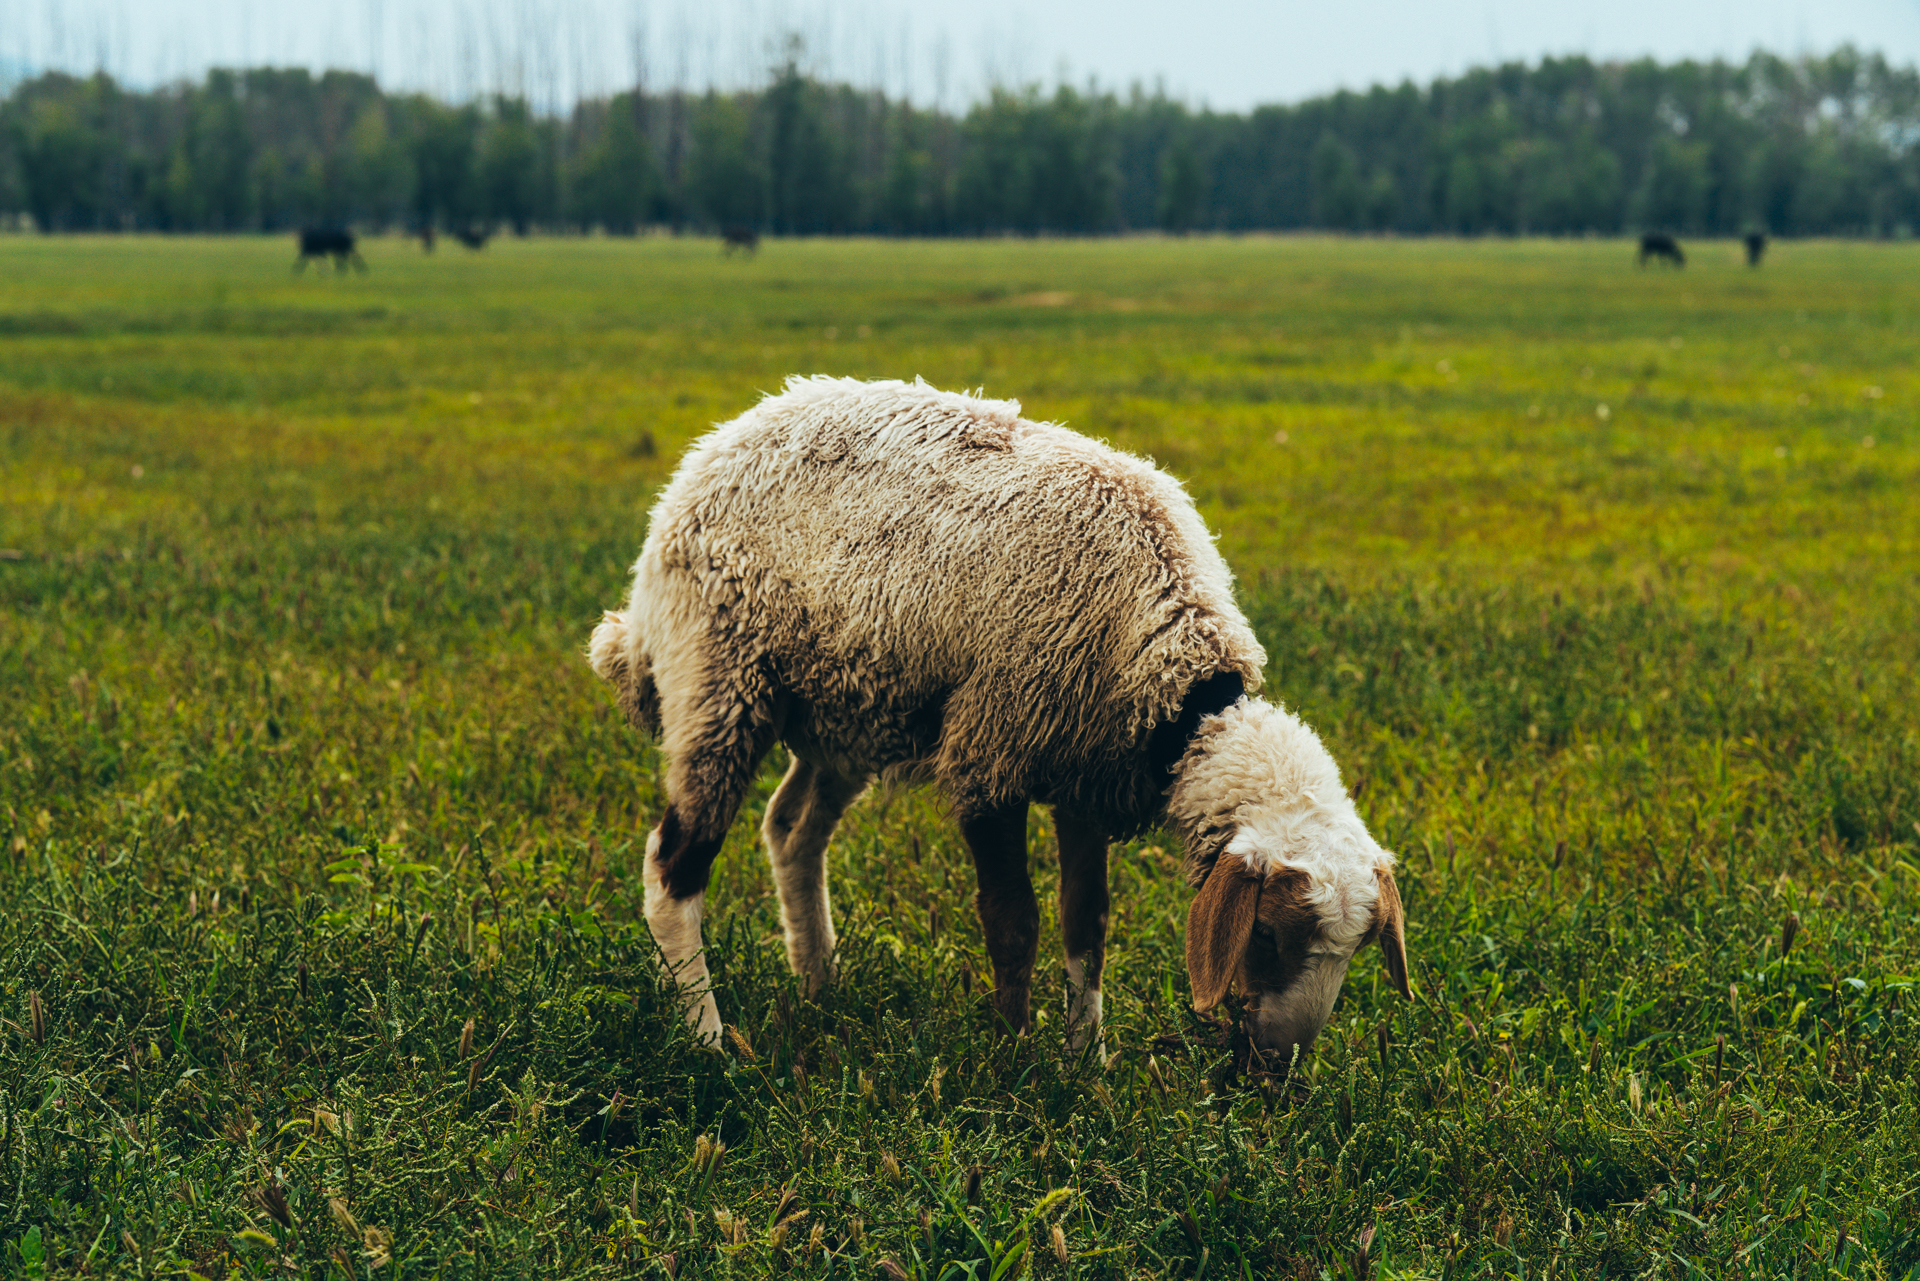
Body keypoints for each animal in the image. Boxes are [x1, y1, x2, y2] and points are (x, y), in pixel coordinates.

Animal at [583, 378, 1413, 1060]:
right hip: (718, 679)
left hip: (844, 705)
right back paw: (707, 1038)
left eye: (1357, 949)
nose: (1280, 1067)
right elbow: (1014, 922)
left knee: (791, 829)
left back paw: (820, 983)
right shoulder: (994, 749)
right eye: (1266, 933)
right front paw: (1015, 1058)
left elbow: (1087, 922)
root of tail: (709, 452)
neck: (1174, 685)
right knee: (674, 864)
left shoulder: (1087, 773)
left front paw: (1087, 1061)